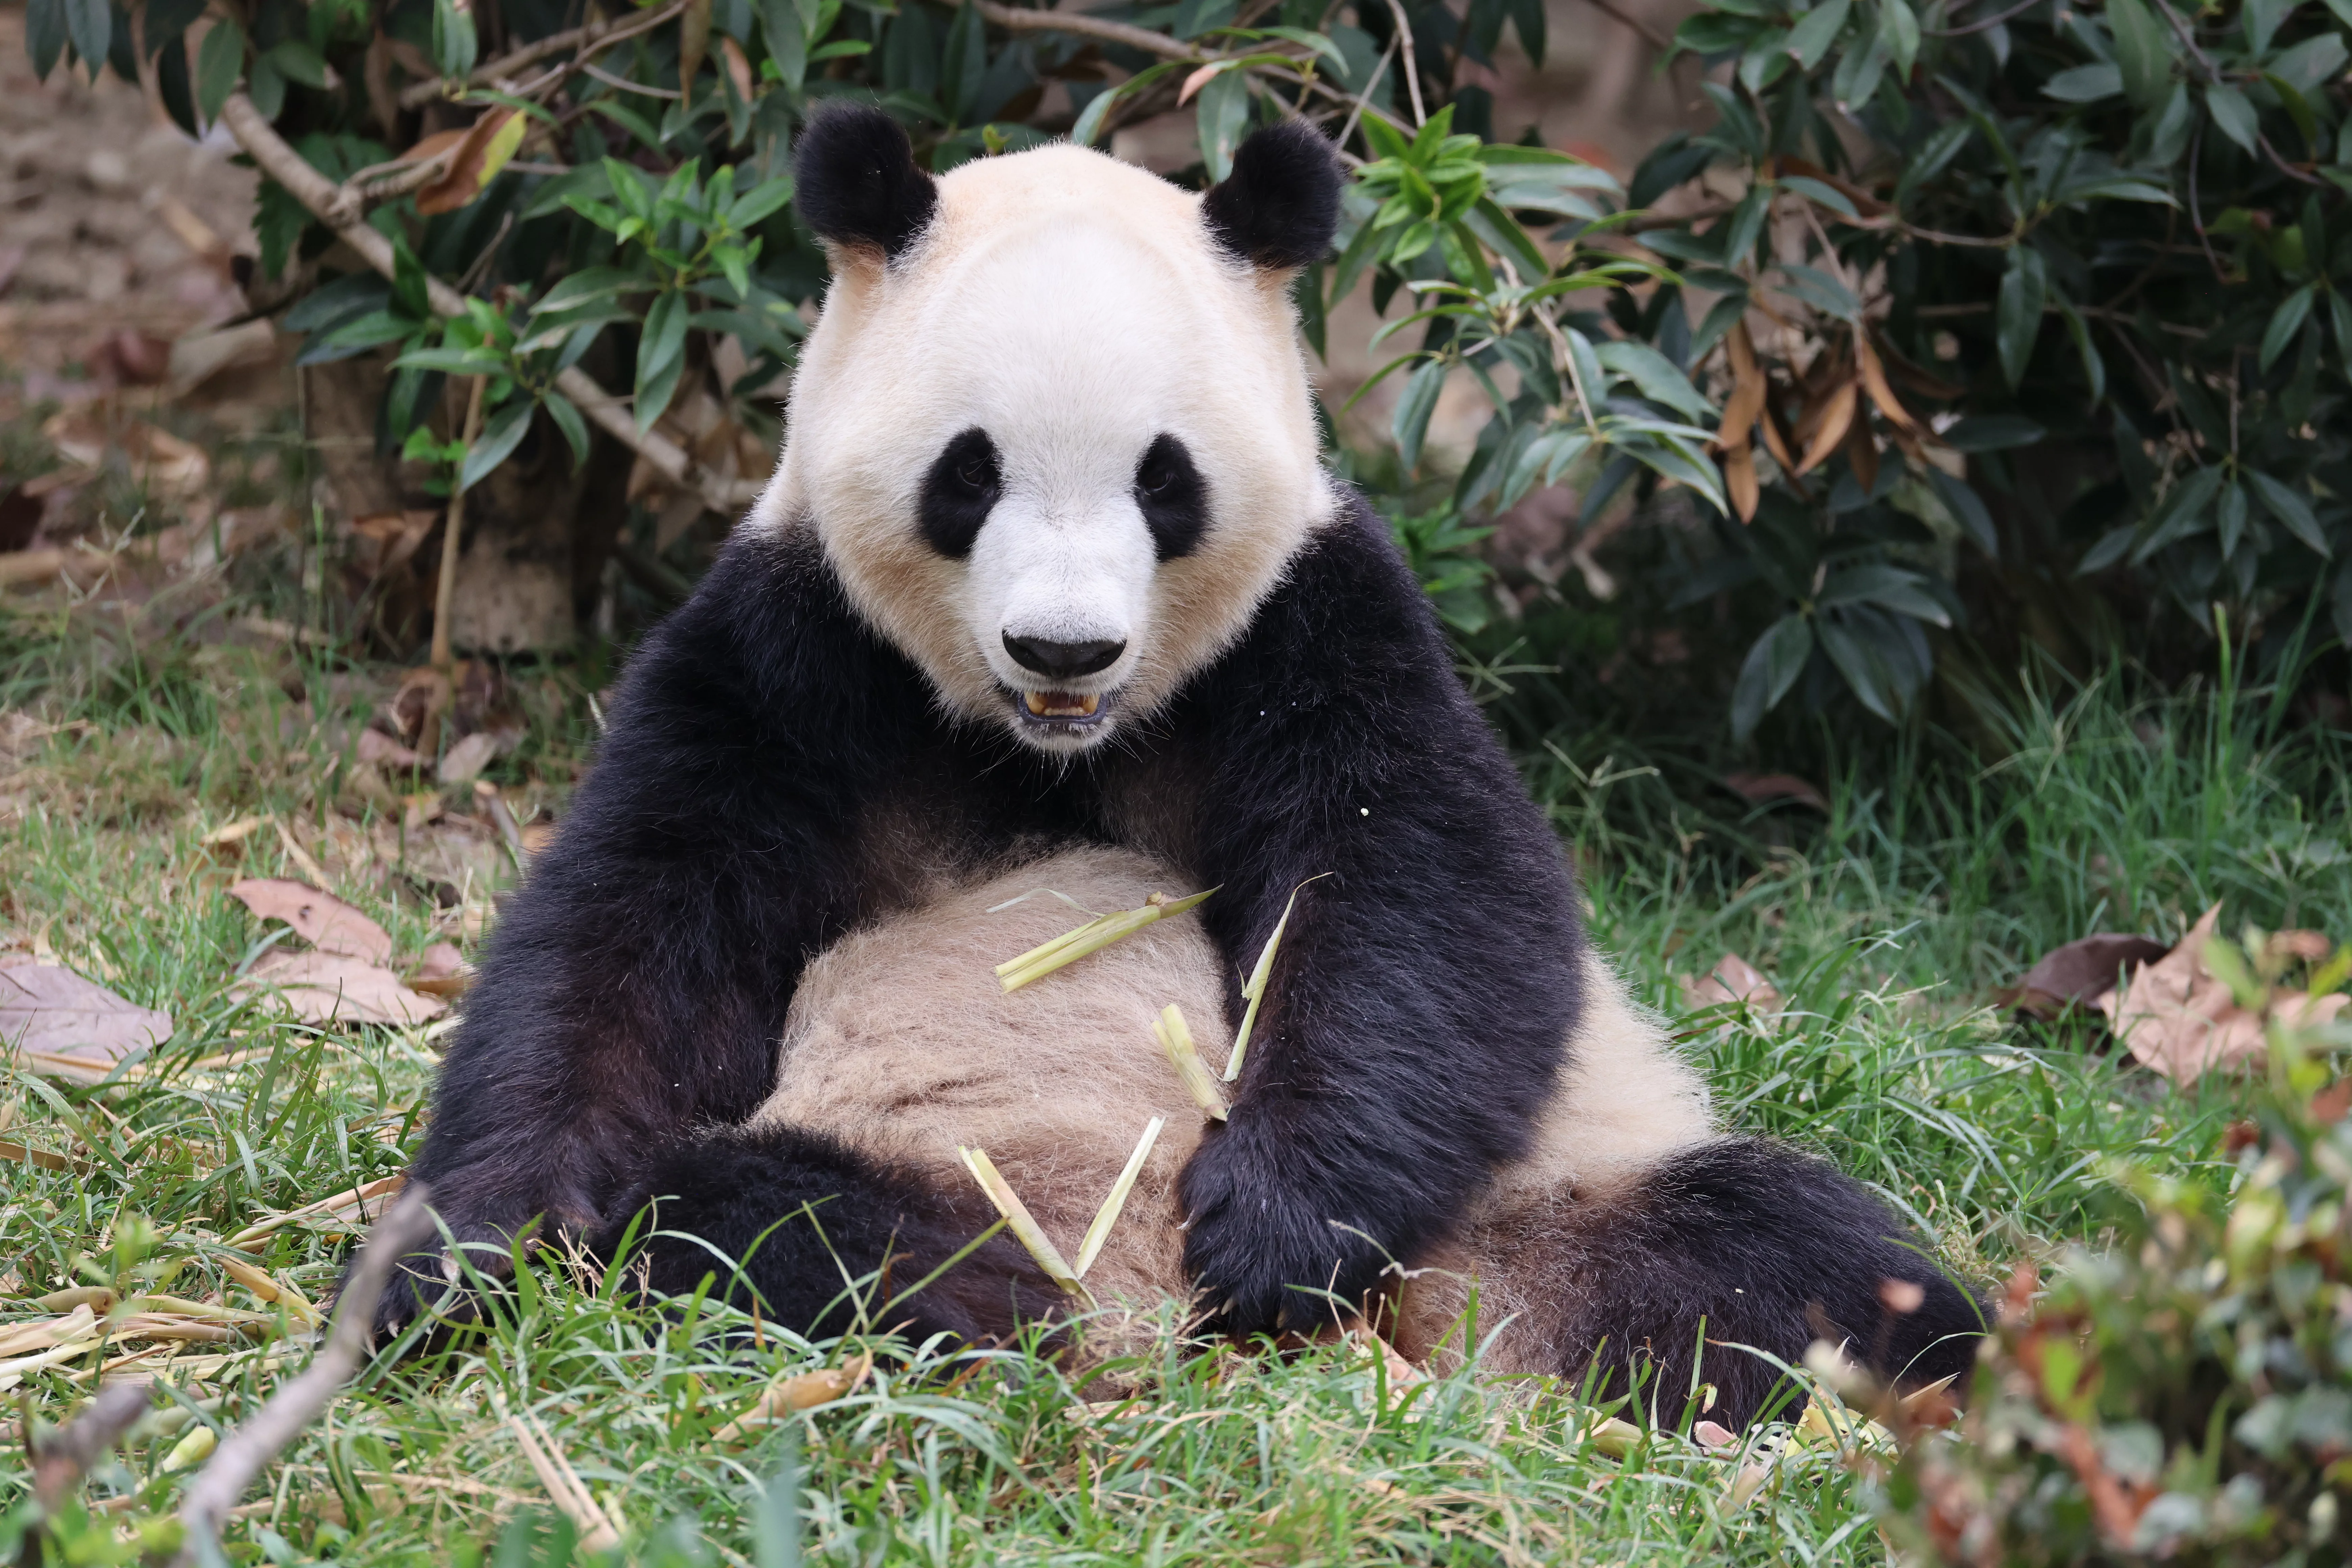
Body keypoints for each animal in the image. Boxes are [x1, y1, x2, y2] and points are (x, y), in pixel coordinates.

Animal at [378, 105, 1984, 1426]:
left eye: (1165, 478)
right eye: (969, 471)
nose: (1065, 645)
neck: (1048, 747)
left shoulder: (1315, 623)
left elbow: (1420, 891)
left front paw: (1275, 1224)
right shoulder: (795, 652)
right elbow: (630, 937)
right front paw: (457, 1258)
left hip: (1543, 1187)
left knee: (1778, 1250)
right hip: (941, 1155)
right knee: (746, 1216)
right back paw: (968, 1314)